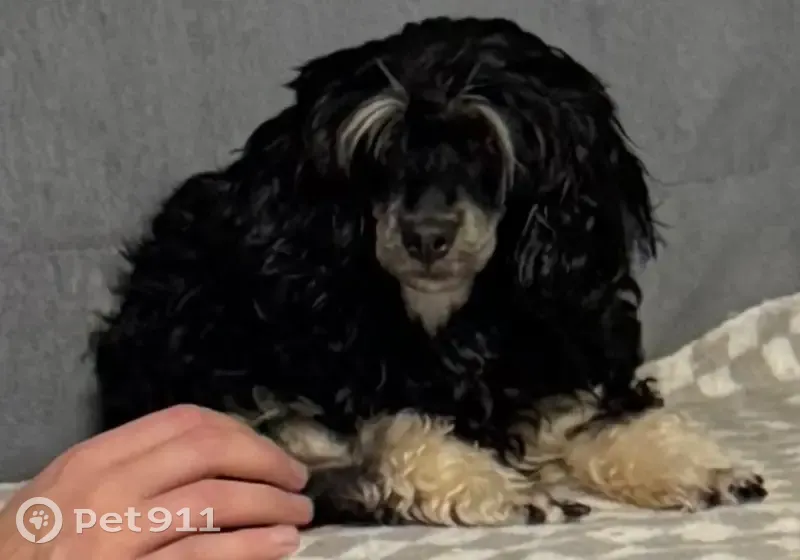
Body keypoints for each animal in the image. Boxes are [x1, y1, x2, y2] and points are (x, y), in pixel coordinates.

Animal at [91, 16, 766, 526]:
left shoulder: (569, 353)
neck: (450, 327)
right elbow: (392, 436)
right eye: (379, 151)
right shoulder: (289, 413)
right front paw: (509, 489)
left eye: (485, 146)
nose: (426, 237)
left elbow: (600, 414)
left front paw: (695, 465)